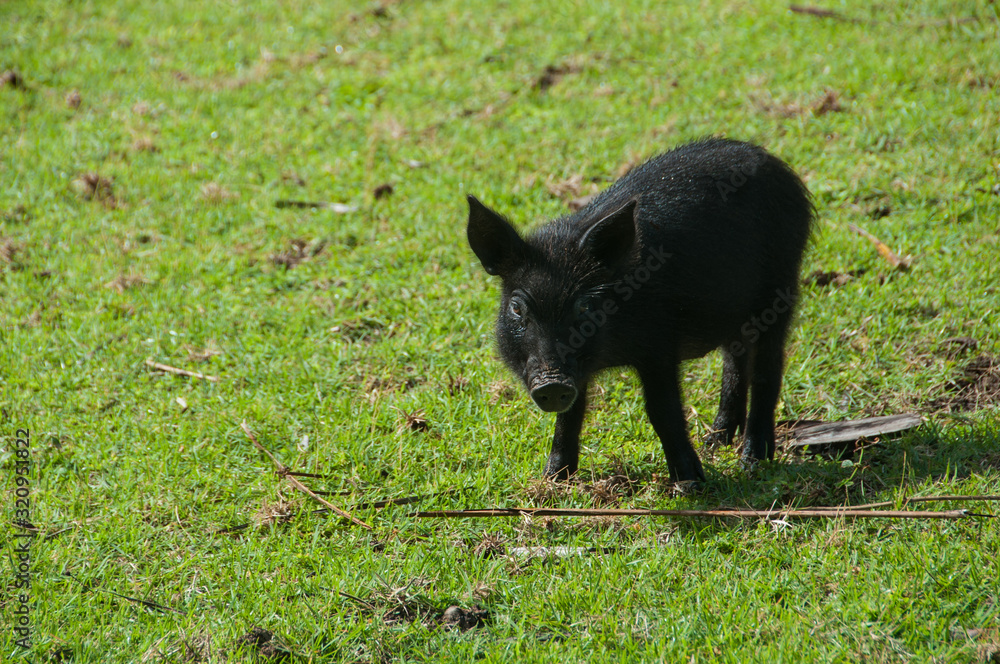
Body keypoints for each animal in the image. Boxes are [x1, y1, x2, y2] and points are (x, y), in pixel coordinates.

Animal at [467, 138, 813, 486]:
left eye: (583, 305)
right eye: (516, 307)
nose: (552, 384)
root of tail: (772, 161)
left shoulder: (660, 347)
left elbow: (662, 410)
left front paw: (691, 483)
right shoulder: (579, 367)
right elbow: (572, 412)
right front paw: (554, 478)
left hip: (780, 288)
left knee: (768, 367)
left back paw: (752, 461)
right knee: (735, 360)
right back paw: (715, 441)